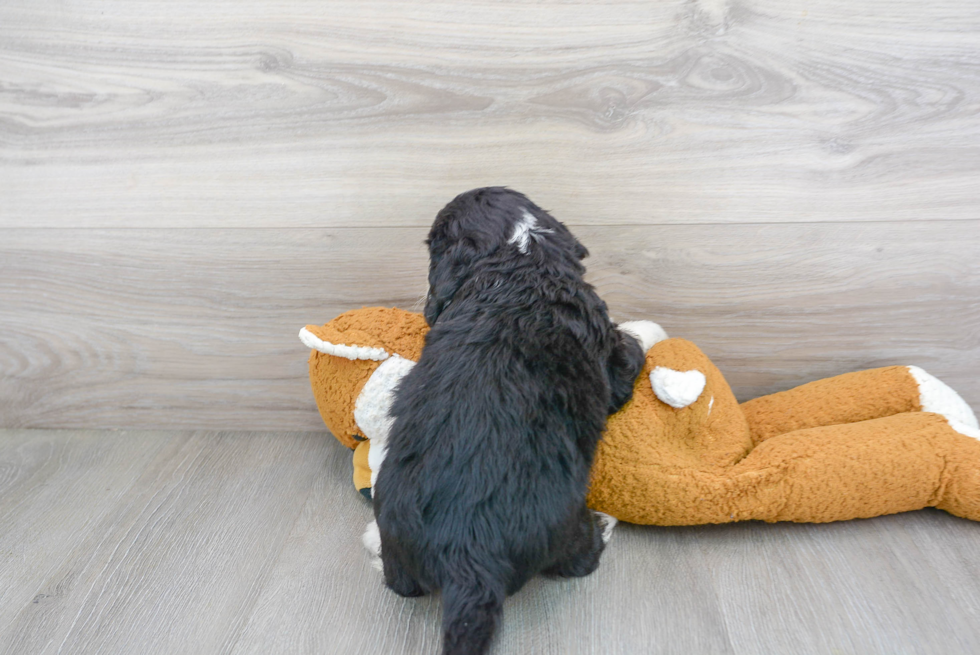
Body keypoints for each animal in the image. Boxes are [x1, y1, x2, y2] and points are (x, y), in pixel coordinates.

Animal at [372, 187, 648, 652]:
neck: (519, 256)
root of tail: (466, 559)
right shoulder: (610, 353)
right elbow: (629, 355)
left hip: (394, 533)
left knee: (400, 584)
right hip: (562, 527)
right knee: (578, 560)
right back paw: (603, 527)